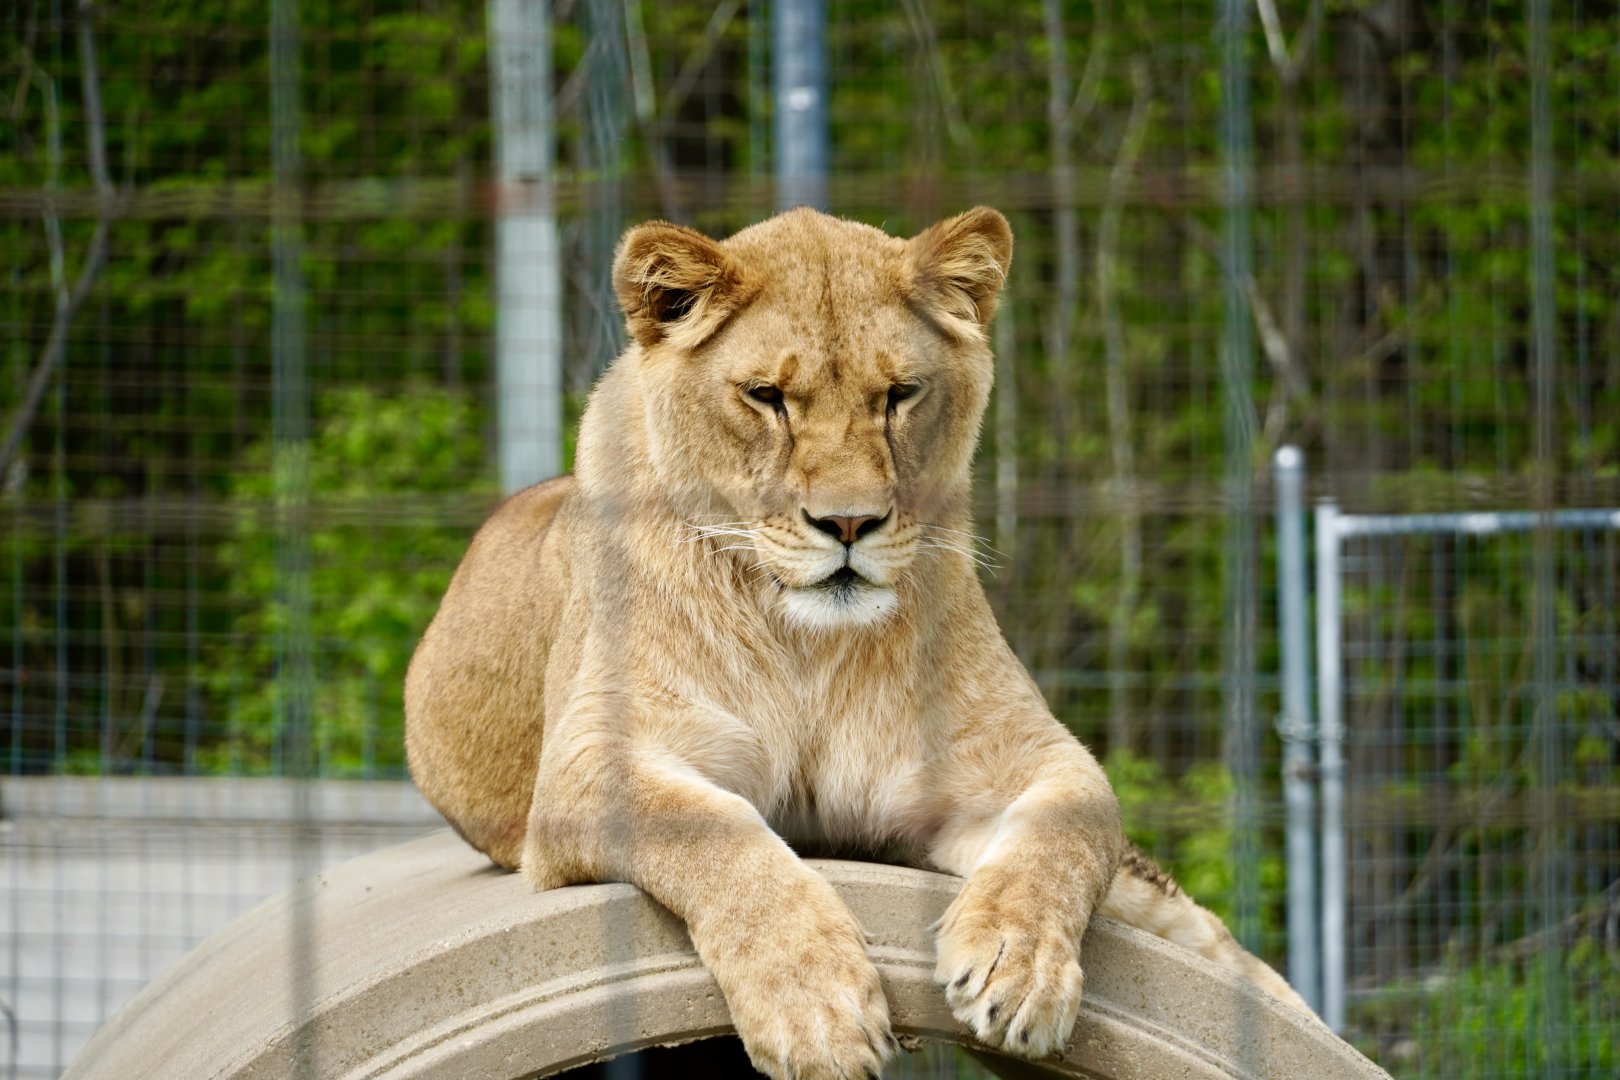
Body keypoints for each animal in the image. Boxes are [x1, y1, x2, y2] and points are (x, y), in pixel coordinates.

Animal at [405, 206, 1310, 1079]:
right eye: (766, 396)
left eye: (900, 394)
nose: (849, 524)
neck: (804, 643)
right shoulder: (589, 763)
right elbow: (721, 835)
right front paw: (813, 1006)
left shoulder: (1020, 757)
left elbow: (1068, 833)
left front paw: (1019, 967)